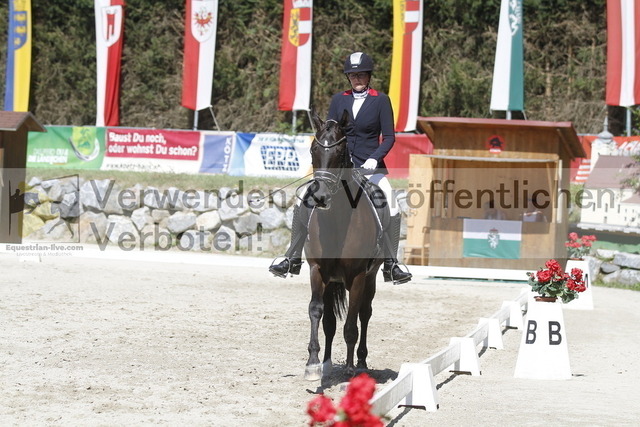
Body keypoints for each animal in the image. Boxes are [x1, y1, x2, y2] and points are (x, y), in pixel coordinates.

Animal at [302, 110, 384, 380]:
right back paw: (327, 363)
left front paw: (349, 370)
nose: (319, 197)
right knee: (330, 321)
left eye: (339, 152)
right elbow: (317, 312)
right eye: (313, 150)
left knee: (364, 314)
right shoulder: (318, 271)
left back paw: (360, 363)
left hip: (370, 277)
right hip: (332, 281)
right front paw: (313, 364)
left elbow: (351, 324)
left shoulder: (358, 276)